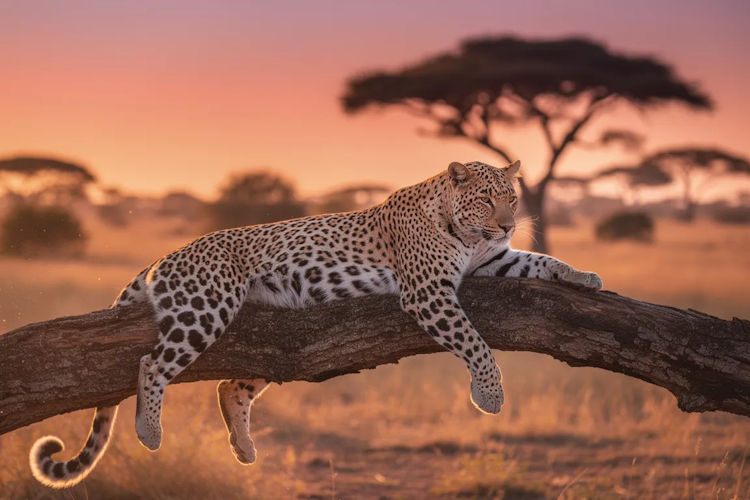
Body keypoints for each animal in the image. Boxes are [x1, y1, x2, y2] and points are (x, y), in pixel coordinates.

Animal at [29, 160, 602, 488]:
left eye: (513, 197)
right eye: (487, 197)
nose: (507, 223)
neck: (462, 227)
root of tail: (162, 258)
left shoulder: (495, 262)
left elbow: (543, 261)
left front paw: (585, 276)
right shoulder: (428, 291)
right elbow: (474, 340)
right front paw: (490, 395)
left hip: (270, 338)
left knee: (227, 385)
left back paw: (243, 447)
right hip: (208, 306)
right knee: (152, 363)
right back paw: (149, 430)